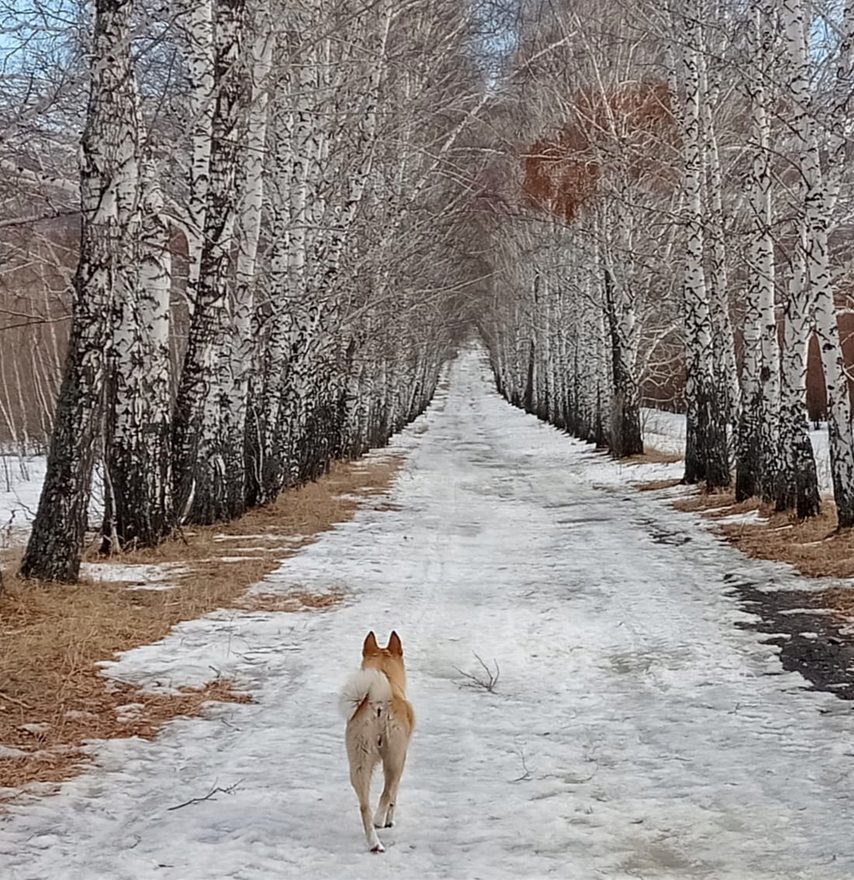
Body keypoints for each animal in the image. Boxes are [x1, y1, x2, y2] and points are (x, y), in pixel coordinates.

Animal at [342, 632, 420, 852]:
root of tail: (378, 702)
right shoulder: (402, 758)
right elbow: (393, 796)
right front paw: (389, 820)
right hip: (394, 758)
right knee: (386, 793)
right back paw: (379, 820)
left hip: (358, 763)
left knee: (364, 806)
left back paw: (375, 843)